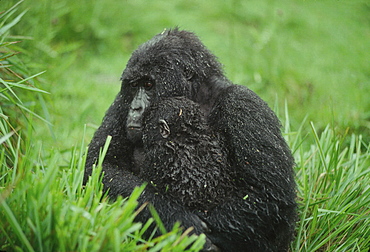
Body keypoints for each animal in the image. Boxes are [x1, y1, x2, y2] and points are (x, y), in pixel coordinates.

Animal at [82, 28, 296, 252]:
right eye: (133, 86)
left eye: (148, 84)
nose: (135, 108)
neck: (196, 95)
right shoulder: (121, 102)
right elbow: (101, 167)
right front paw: (176, 218)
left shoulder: (243, 103)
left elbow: (268, 196)